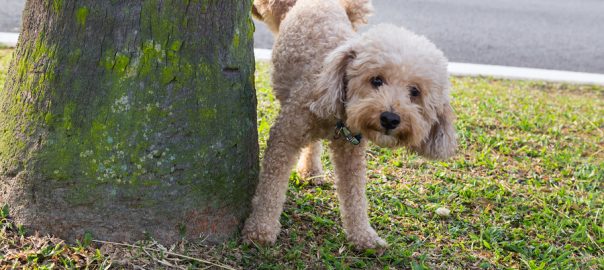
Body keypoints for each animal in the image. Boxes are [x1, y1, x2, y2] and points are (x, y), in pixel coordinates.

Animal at [243, 0, 456, 250]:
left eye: (415, 92)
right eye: (376, 80)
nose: (390, 118)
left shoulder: (351, 152)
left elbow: (354, 195)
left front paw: (363, 235)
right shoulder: (285, 136)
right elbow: (271, 187)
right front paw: (261, 228)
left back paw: (311, 170)